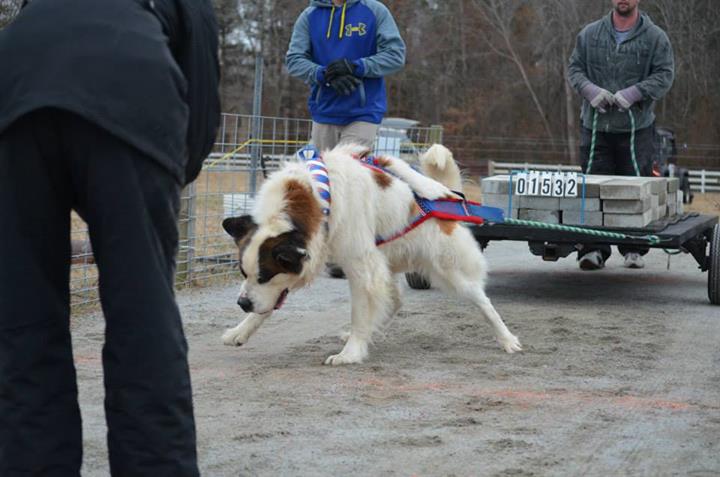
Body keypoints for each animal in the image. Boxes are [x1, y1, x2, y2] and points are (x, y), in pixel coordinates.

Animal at [222, 143, 520, 362]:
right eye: (244, 273)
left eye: (265, 276)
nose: (242, 303)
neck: (318, 194)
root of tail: (448, 204)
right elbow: (268, 307)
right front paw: (240, 331)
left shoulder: (359, 263)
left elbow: (359, 311)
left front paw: (350, 353)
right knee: (394, 302)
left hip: (450, 270)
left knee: (483, 301)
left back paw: (507, 339)